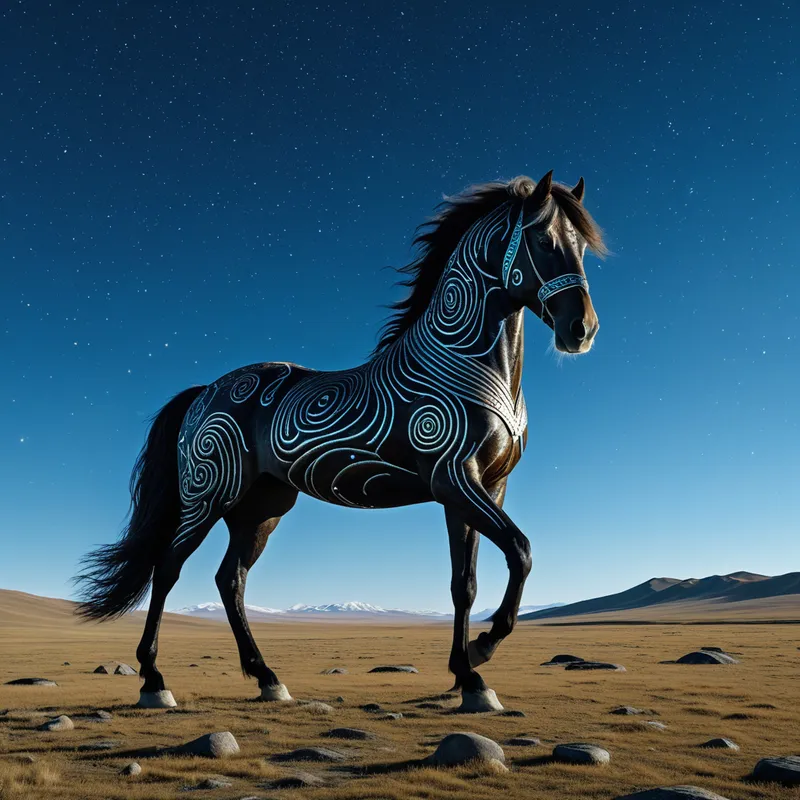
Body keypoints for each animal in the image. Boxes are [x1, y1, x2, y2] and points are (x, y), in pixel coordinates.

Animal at [75, 171, 607, 712]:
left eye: (583, 247)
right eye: (542, 240)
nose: (582, 330)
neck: (473, 364)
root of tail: (205, 390)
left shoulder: (485, 488)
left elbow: (466, 584)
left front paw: (468, 677)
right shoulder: (454, 479)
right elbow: (522, 550)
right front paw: (482, 649)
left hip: (261, 506)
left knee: (230, 580)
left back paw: (267, 677)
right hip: (207, 497)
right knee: (167, 570)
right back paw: (153, 679)